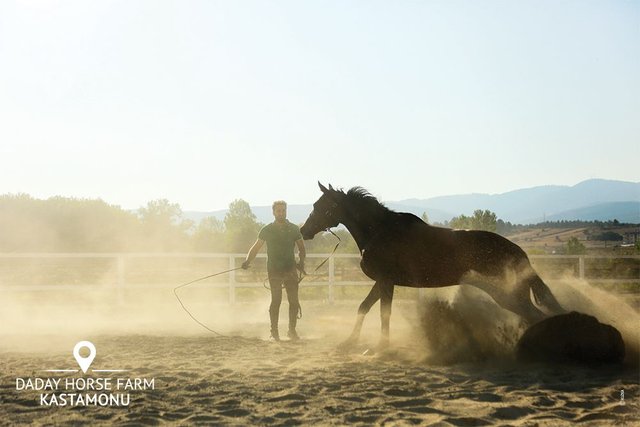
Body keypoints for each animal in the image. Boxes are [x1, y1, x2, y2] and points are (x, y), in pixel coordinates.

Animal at [300, 182, 564, 350]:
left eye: (319, 206)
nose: (303, 231)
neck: (380, 231)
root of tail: (519, 252)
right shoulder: (383, 282)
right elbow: (363, 308)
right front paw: (350, 342)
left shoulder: (386, 282)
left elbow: (384, 313)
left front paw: (382, 346)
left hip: (508, 295)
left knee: (535, 315)